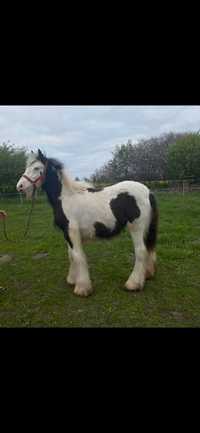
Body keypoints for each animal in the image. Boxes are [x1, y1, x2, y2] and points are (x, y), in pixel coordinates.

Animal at [16, 150, 158, 296]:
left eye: (36, 168)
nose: (19, 186)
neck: (66, 197)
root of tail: (148, 191)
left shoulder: (72, 231)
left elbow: (78, 256)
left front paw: (82, 287)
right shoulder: (66, 233)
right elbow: (71, 255)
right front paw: (72, 279)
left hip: (136, 228)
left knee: (141, 251)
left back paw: (133, 284)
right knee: (148, 248)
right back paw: (147, 274)